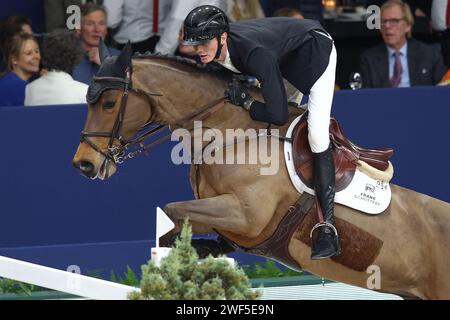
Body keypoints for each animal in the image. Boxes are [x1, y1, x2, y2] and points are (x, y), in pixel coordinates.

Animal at [72, 43, 450, 298]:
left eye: (108, 103)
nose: (84, 164)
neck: (231, 134)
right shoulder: (228, 220)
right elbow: (180, 219)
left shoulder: (246, 216)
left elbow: (172, 210)